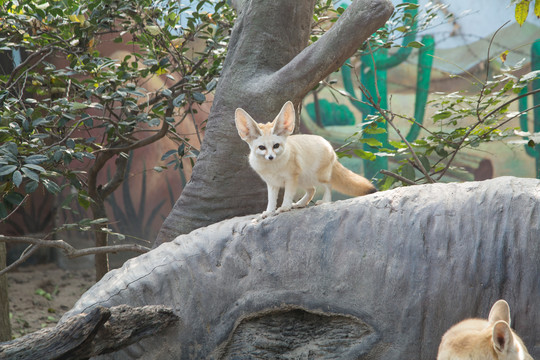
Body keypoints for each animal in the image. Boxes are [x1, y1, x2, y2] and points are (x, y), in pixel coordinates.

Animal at [234, 99, 378, 217]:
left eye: (276, 146)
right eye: (262, 148)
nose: (270, 157)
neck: (273, 168)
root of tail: (329, 146)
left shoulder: (290, 179)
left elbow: (287, 195)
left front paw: (284, 207)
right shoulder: (272, 183)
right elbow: (271, 200)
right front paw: (269, 212)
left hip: (317, 177)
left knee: (328, 185)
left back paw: (324, 202)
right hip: (304, 180)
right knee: (312, 190)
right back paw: (300, 203)